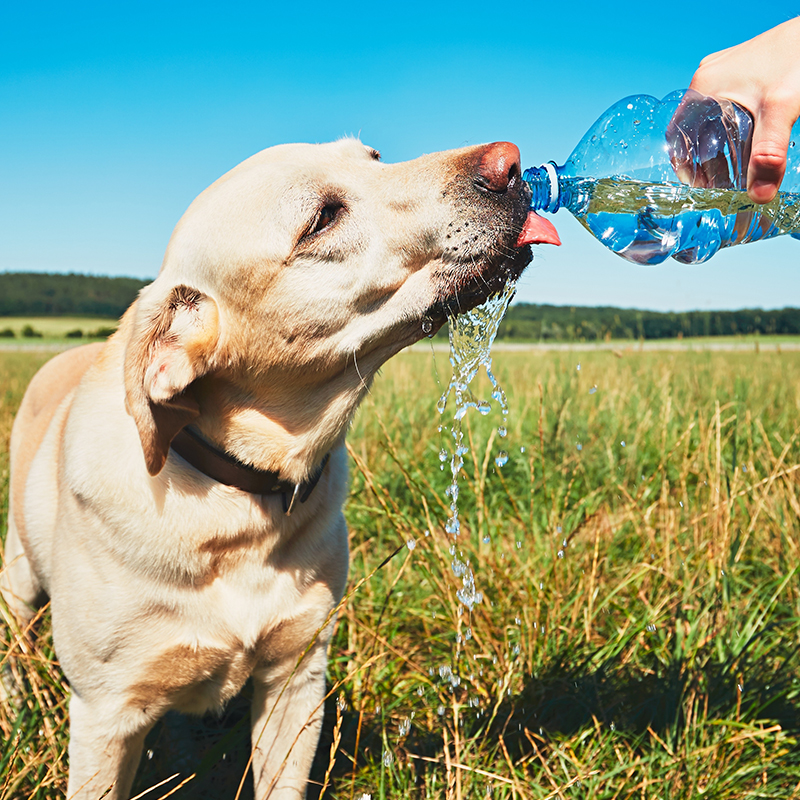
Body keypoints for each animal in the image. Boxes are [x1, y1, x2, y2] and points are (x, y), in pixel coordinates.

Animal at [0, 141, 560, 796]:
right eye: (322, 219)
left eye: (374, 157)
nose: (510, 163)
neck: (237, 499)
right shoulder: (106, 714)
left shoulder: (296, 678)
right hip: (18, 576)